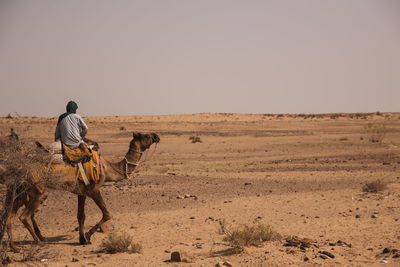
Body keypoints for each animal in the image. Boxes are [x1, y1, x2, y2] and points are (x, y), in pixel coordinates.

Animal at [3, 133, 159, 252]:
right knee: (24, 216)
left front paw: (82, 239)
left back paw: (15, 247)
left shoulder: (81, 192)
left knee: (8, 216)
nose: (156, 136)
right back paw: (40, 242)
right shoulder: (93, 189)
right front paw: (88, 236)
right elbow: (108, 214)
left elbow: (81, 216)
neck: (108, 168)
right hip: (37, 189)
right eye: (145, 135)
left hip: (20, 191)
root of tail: (18, 168)